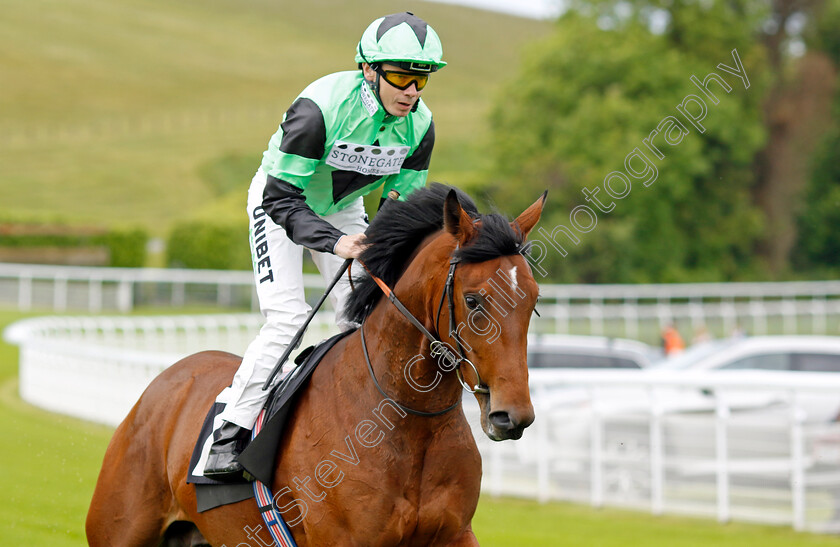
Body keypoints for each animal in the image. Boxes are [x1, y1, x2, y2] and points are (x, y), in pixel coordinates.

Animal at [85, 185, 544, 547]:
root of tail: (167, 380)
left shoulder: (454, 534)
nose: (512, 415)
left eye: (534, 300)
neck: (406, 423)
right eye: (473, 300)